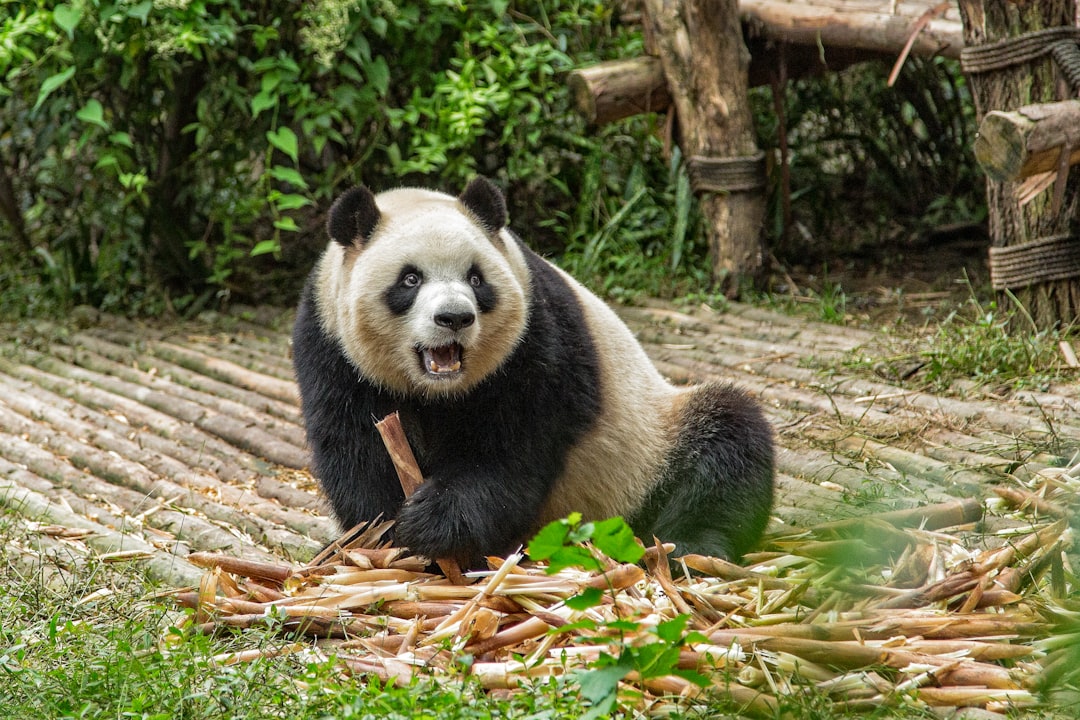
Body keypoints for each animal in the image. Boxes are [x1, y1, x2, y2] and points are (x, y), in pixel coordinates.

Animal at [292, 177, 775, 569]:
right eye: (410, 279)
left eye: (476, 279)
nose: (454, 317)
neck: (438, 391)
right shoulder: (331, 348)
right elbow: (355, 445)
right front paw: (383, 535)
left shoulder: (536, 342)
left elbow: (513, 452)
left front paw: (432, 522)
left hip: (649, 450)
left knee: (727, 445)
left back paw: (692, 549)